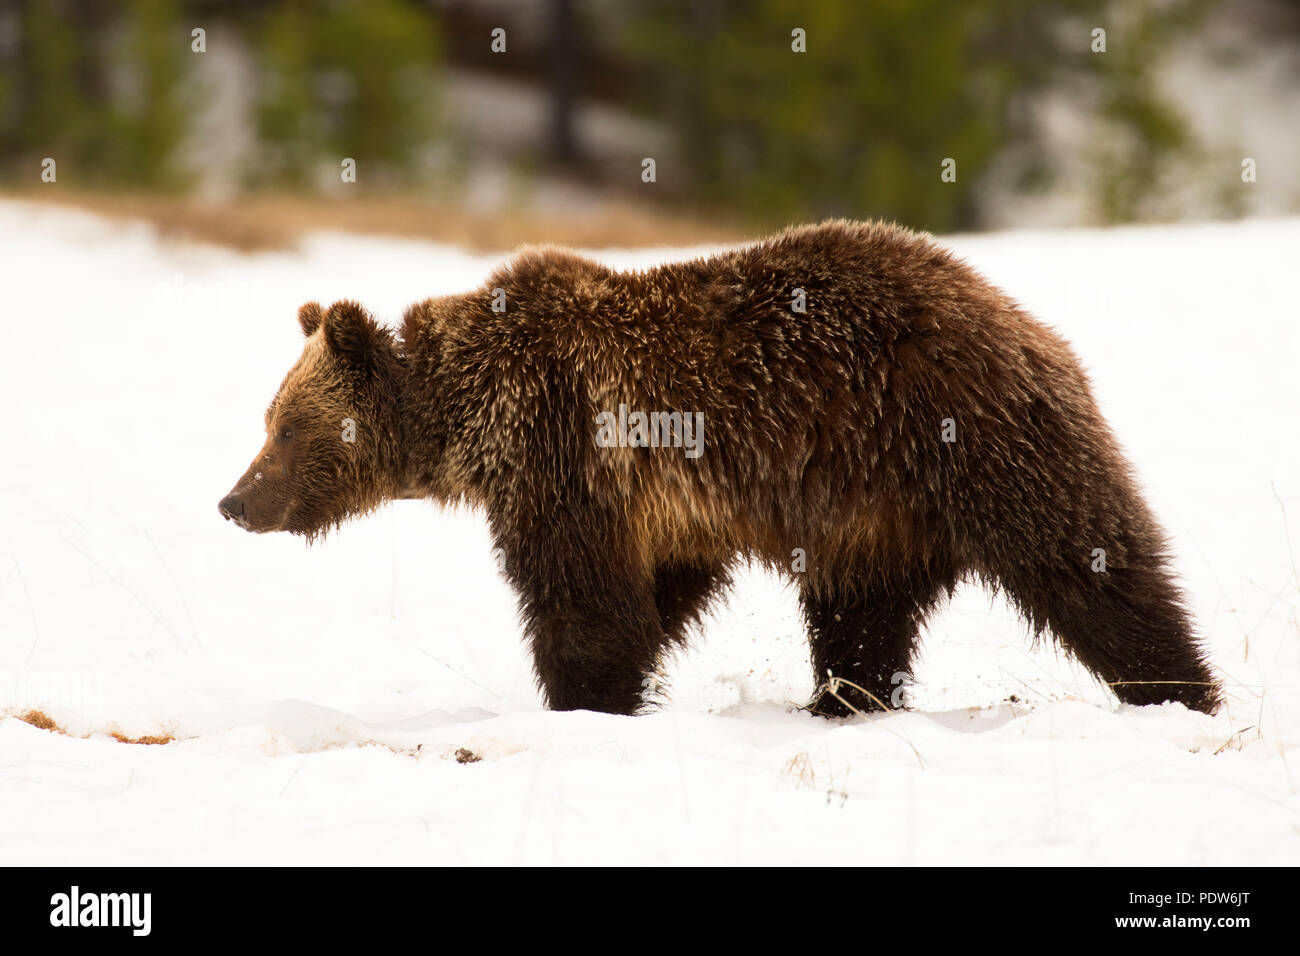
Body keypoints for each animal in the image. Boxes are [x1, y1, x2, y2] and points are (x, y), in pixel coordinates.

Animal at [218, 218, 1222, 717]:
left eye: (286, 430)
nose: (233, 500)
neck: (473, 413)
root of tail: (1024, 320)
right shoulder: (665, 507)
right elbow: (656, 595)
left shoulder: (566, 449)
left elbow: (583, 601)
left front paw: (583, 701)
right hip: (872, 508)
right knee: (861, 617)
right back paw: (843, 703)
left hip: (968, 439)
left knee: (1093, 568)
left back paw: (1180, 691)